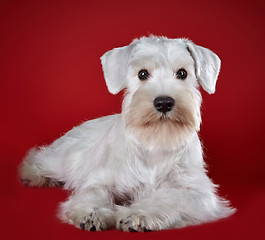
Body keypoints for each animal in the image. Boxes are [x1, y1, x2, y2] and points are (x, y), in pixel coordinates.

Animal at [19, 35, 234, 231]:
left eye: (182, 73)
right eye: (142, 73)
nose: (164, 102)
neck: (155, 141)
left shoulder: (196, 192)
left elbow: (168, 199)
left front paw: (139, 215)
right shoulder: (101, 179)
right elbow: (94, 193)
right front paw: (92, 214)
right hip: (60, 159)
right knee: (39, 158)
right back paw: (33, 175)